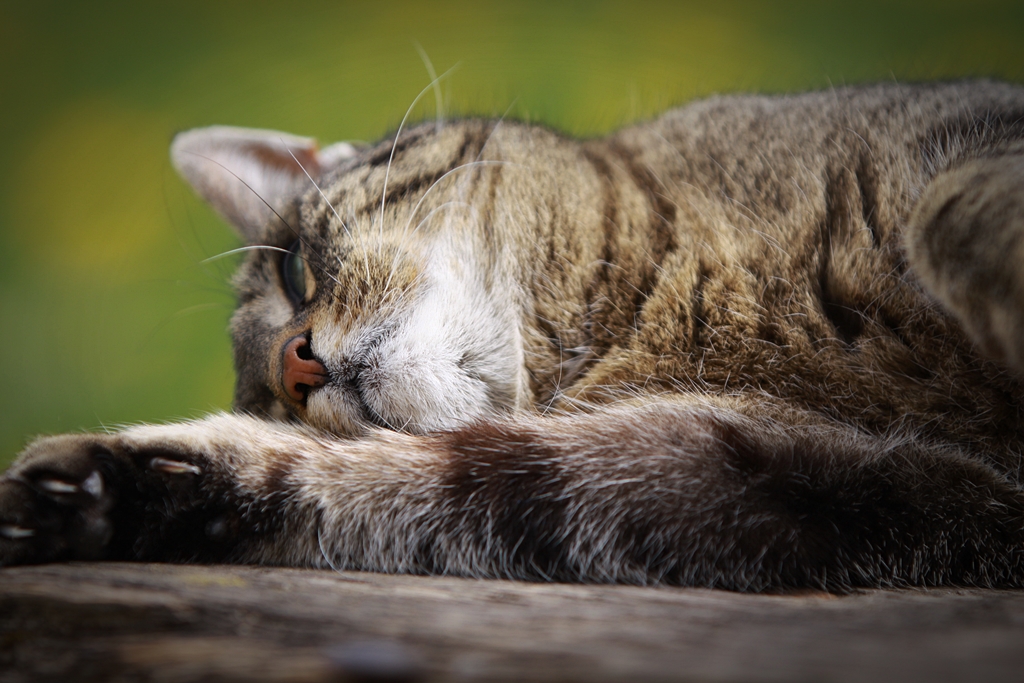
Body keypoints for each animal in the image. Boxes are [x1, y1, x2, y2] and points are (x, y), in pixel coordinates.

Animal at [0, 81, 1024, 593]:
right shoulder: (779, 481)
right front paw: (112, 486)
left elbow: (953, 215)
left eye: (293, 271)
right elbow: (462, 481)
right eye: (267, 401)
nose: (295, 371)